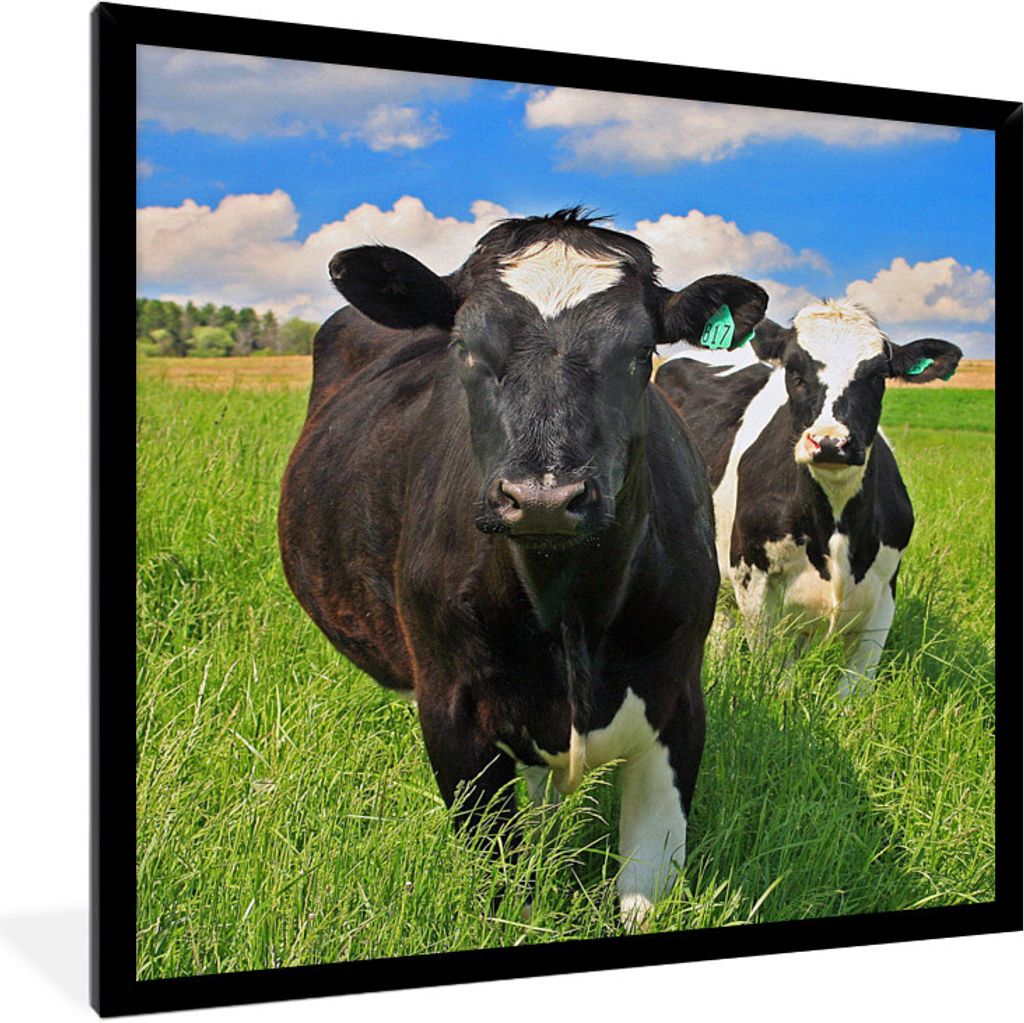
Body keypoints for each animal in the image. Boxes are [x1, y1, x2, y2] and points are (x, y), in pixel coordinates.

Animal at [278, 209, 768, 927]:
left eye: (639, 354)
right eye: (465, 348)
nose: (543, 497)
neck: (568, 608)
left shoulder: (678, 701)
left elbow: (646, 884)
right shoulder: (453, 712)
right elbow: (504, 884)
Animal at [655, 299, 962, 695]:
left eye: (877, 376)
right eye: (795, 373)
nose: (830, 442)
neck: (835, 518)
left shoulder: (884, 590)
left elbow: (853, 689)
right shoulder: (754, 579)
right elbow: (774, 674)